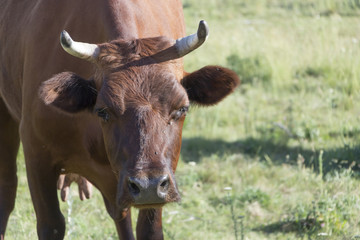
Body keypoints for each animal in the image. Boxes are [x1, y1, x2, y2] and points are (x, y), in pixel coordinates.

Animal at [0, 0, 239, 239]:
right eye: (103, 111)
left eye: (182, 108)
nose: (147, 185)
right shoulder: (36, 155)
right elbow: (51, 225)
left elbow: (149, 229)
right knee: (7, 191)